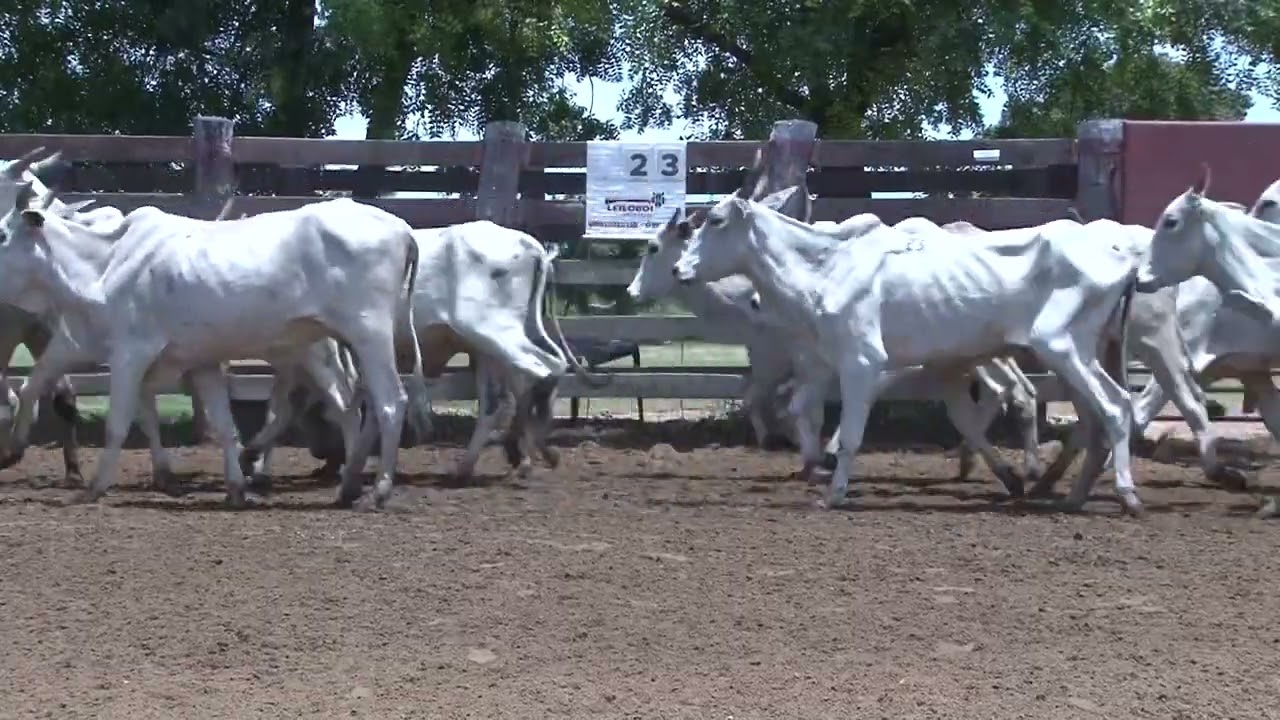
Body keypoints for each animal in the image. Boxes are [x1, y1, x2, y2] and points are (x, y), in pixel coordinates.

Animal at [0, 184, 429, 510]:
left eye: (3, 235)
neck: (105, 264)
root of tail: (400, 228)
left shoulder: (129, 354)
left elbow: (117, 423)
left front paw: (94, 487)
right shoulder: (199, 362)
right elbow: (223, 425)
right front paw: (235, 488)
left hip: (367, 333)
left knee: (389, 403)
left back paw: (378, 490)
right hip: (350, 343)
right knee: (359, 405)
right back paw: (348, 483)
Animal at [672, 152, 1141, 514]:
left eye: (715, 219)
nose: (679, 269)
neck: (828, 267)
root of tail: (1120, 254)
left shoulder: (862, 363)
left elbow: (850, 435)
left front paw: (834, 492)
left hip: (1063, 348)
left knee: (1116, 407)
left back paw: (1126, 495)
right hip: (1079, 354)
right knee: (1096, 418)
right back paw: (1069, 494)